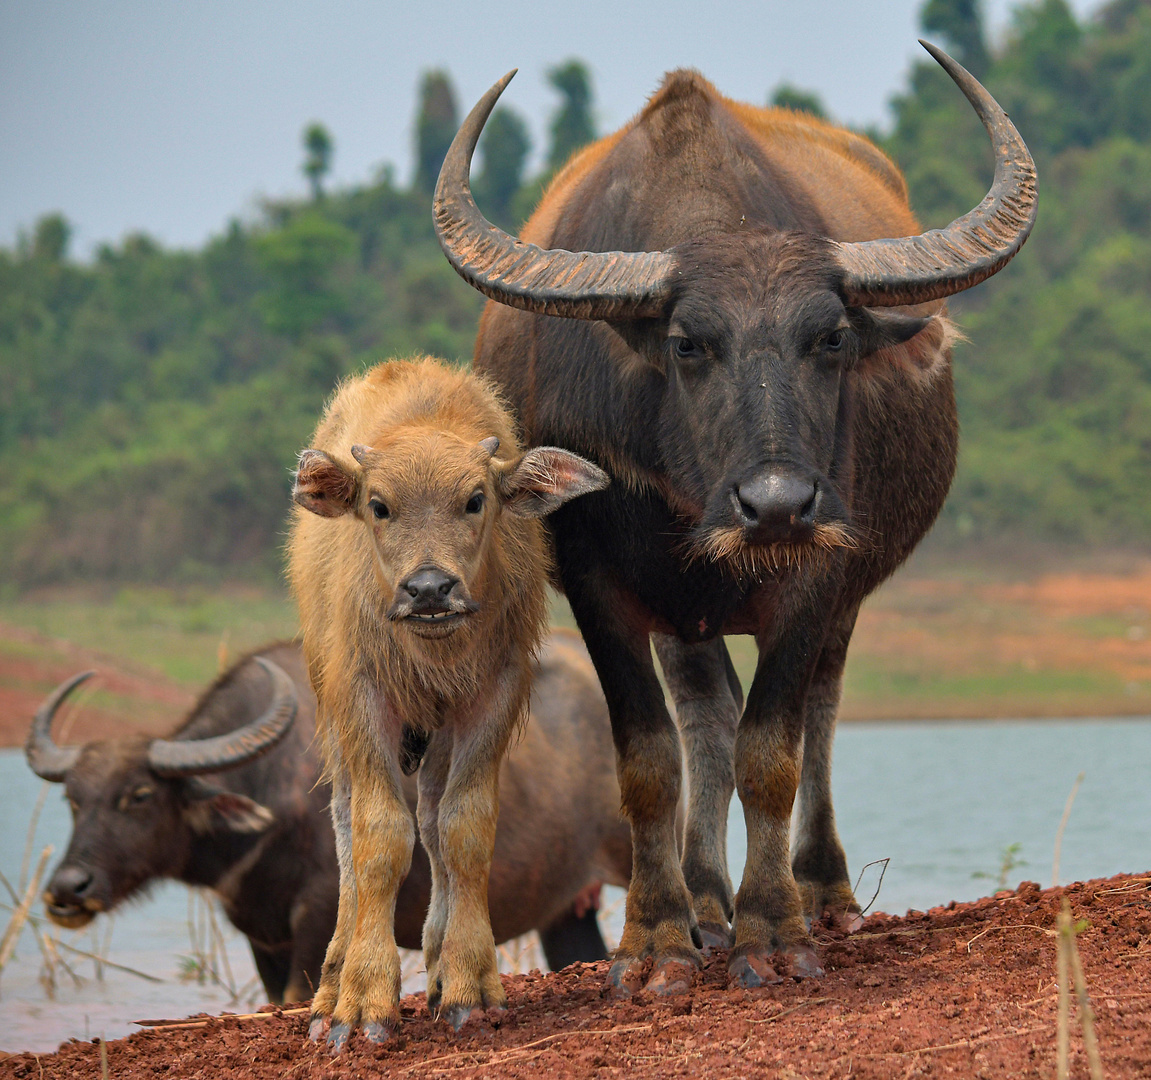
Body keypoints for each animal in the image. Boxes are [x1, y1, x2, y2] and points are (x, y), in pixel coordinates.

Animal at [24, 630, 630, 1004]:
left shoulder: (317, 918)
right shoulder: (262, 938)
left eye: (140, 794)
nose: (68, 889)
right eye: (74, 799)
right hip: (566, 908)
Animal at [287, 359, 607, 1045]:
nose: (430, 588)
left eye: (475, 499)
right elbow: (380, 835)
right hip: (333, 713)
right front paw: (364, 1002)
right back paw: (331, 983)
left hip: (438, 731)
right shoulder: (364, 696)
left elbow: (466, 827)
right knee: (347, 822)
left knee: (432, 818)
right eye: (379, 505)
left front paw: (468, 983)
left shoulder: (494, 696)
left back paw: (435, 963)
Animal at [432, 42, 1045, 990]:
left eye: (830, 337)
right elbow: (649, 758)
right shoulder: (598, 586)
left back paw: (818, 890)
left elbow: (772, 751)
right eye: (688, 342)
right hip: (682, 611)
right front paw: (658, 937)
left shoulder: (815, 577)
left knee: (817, 705)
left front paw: (773, 930)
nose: (776, 506)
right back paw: (703, 900)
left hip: (834, 594)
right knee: (704, 713)